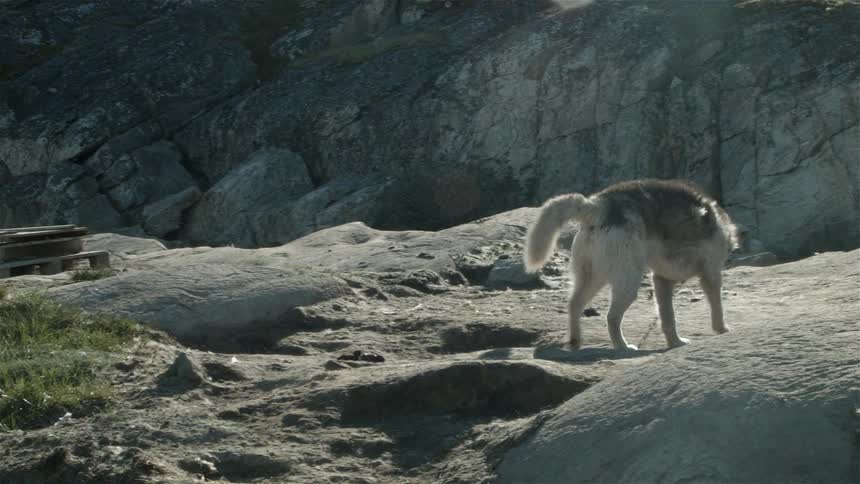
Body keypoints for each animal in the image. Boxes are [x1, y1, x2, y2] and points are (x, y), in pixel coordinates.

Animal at [523, 179, 739, 351]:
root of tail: (598, 205)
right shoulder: (711, 273)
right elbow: (717, 306)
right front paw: (722, 330)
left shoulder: (662, 281)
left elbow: (668, 318)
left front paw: (675, 343)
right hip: (628, 282)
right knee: (611, 317)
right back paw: (622, 346)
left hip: (592, 277)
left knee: (574, 304)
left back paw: (576, 341)